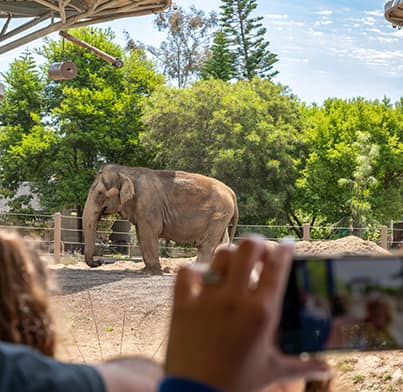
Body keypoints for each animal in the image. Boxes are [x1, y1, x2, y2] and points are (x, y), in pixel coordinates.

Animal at [83, 164, 238, 274]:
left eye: (100, 193)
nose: (100, 261)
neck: (126, 170)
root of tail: (231, 191)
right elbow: (141, 234)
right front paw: (145, 270)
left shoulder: (148, 204)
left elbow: (148, 233)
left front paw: (150, 272)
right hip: (222, 216)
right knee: (220, 242)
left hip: (218, 215)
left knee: (207, 245)